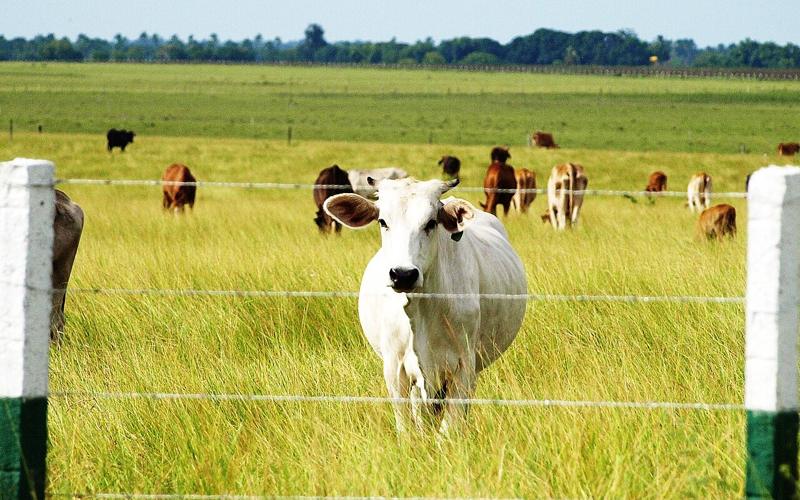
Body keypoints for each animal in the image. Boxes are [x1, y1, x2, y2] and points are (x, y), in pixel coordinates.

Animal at [323, 178, 527, 433]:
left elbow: (449, 429)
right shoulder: (395, 369)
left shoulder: (464, 367)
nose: (403, 275)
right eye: (382, 221)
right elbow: (406, 428)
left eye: (431, 222)